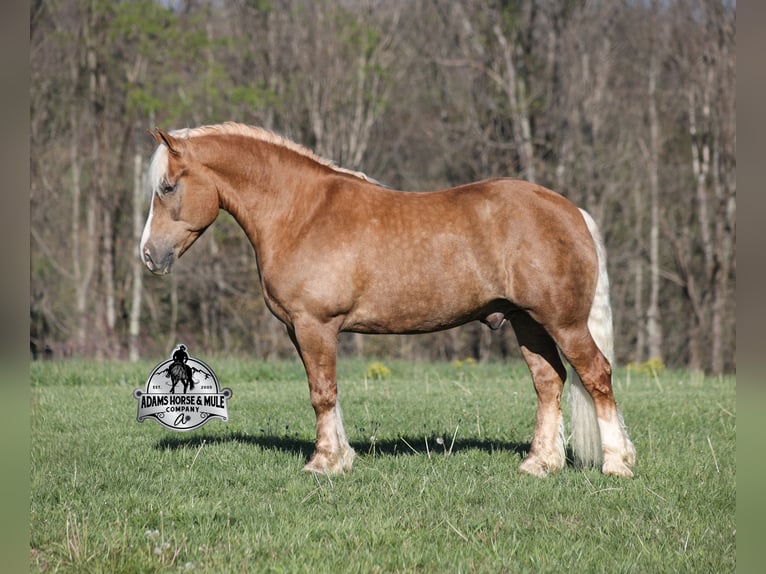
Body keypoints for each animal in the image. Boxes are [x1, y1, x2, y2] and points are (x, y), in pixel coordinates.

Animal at [140, 122, 636, 478]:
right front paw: (341, 457)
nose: (149, 255)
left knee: (595, 375)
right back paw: (539, 464)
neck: (301, 212)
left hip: (563, 322)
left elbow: (322, 393)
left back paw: (617, 464)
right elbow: (327, 392)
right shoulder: (302, 331)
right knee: (549, 382)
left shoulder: (315, 325)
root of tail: (571, 212)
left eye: (167, 188)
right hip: (526, 321)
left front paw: (323, 464)